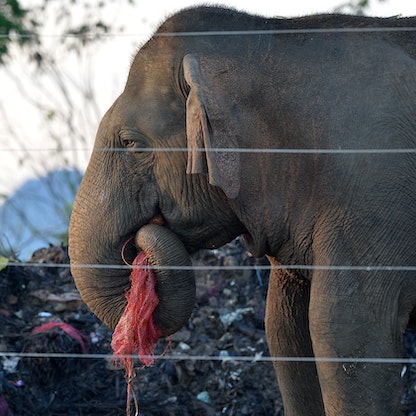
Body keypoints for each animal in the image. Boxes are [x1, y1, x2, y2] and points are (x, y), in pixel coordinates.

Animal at [69, 7, 416, 416]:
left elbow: (344, 330)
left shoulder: (372, 193)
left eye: (130, 143)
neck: (274, 34)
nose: (139, 240)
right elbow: (284, 328)